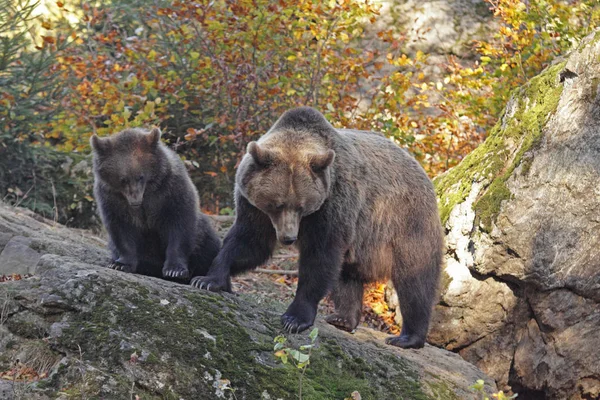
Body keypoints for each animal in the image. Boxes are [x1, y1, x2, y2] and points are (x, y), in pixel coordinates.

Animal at [94, 128, 223, 282]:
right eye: (123, 179)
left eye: (141, 177)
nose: (135, 201)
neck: (148, 192)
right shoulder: (111, 199)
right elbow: (121, 228)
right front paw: (120, 264)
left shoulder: (170, 191)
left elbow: (180, 225)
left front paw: (174, 270)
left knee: (208, 244)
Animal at [190, 108, 442, 348]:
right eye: (276, 204)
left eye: (301, 206)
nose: (289, 238)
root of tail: (422, 170)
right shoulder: (253, 206)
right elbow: (249, 242)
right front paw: (207, 279)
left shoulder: (332, 203)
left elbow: (320, 257)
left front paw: (295, 318)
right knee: (347, 274)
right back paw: (343, 318)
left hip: (405, 222)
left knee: (415, 281)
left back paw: (408, 337)